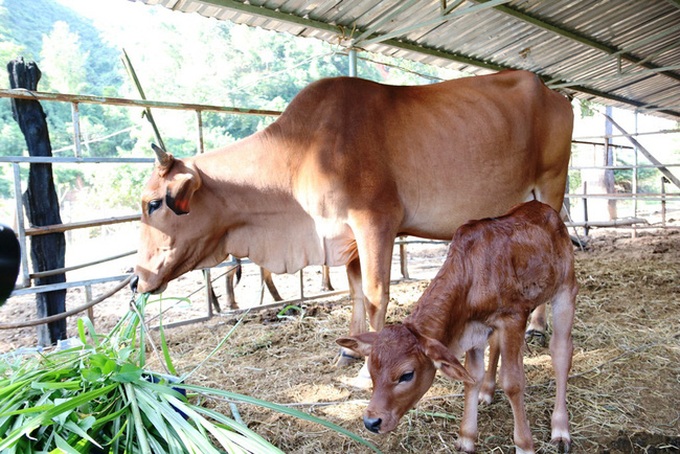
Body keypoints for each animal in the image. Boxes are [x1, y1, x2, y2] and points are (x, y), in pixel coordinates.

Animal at [131, 69, 572, 364]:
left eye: (153, 203)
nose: (136, 279)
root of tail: (552, 91)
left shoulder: (375, 221)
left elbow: (377, 294)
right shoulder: (344, 235)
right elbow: (355, 291)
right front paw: (350, 350)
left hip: (551, 187)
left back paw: (538, 327)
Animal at [338, 202, 576, 454]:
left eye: (406, 375)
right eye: (371, 370)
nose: (371, 421)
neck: (472, 272)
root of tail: (542, 207)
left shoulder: (513, 318)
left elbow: (513, 383)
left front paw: (524, 445)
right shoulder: (474, 328)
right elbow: (472, 377)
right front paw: (466, 438)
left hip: (566, 290)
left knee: (561, 352)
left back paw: (560, 430)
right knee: (496, 345)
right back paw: (487, 392)